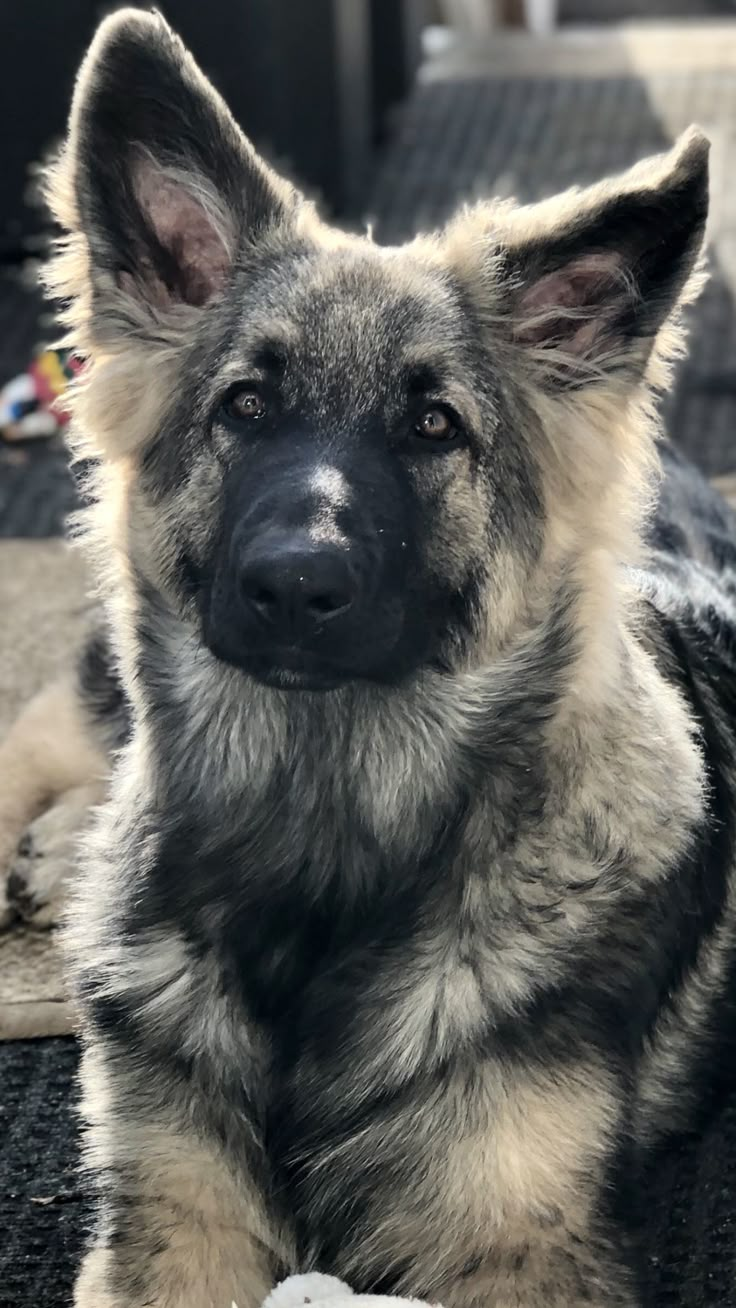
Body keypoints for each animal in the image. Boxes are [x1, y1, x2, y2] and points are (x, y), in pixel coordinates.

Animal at [1, 5, 736, 1302]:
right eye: (244, 406)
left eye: (432, 426)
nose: (296, 586)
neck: (323, 826)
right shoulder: (168, 1222)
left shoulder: (523, 1242)